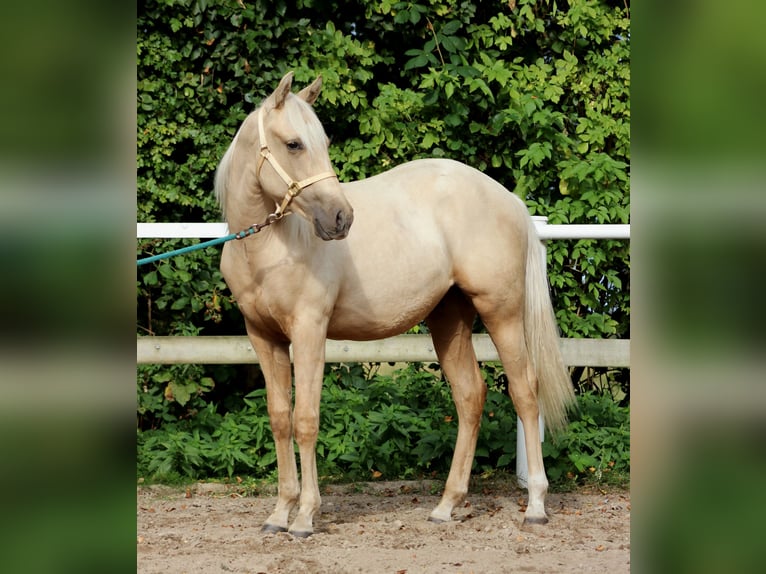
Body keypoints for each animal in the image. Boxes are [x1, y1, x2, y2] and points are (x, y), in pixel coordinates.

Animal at [216, 73, 576, 540]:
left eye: (323, 141)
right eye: (293, 144)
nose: (341, 219)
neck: (270, 247)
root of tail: (509, 200)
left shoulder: (309, 331)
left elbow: (305, 420)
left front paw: (306, 517)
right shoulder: (263, 337)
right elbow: (279, 418)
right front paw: (279, 514)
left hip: (503, 313)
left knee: (524, 392)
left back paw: (534, 504)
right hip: (449, 320)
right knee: (470, 396)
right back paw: (446, 505)